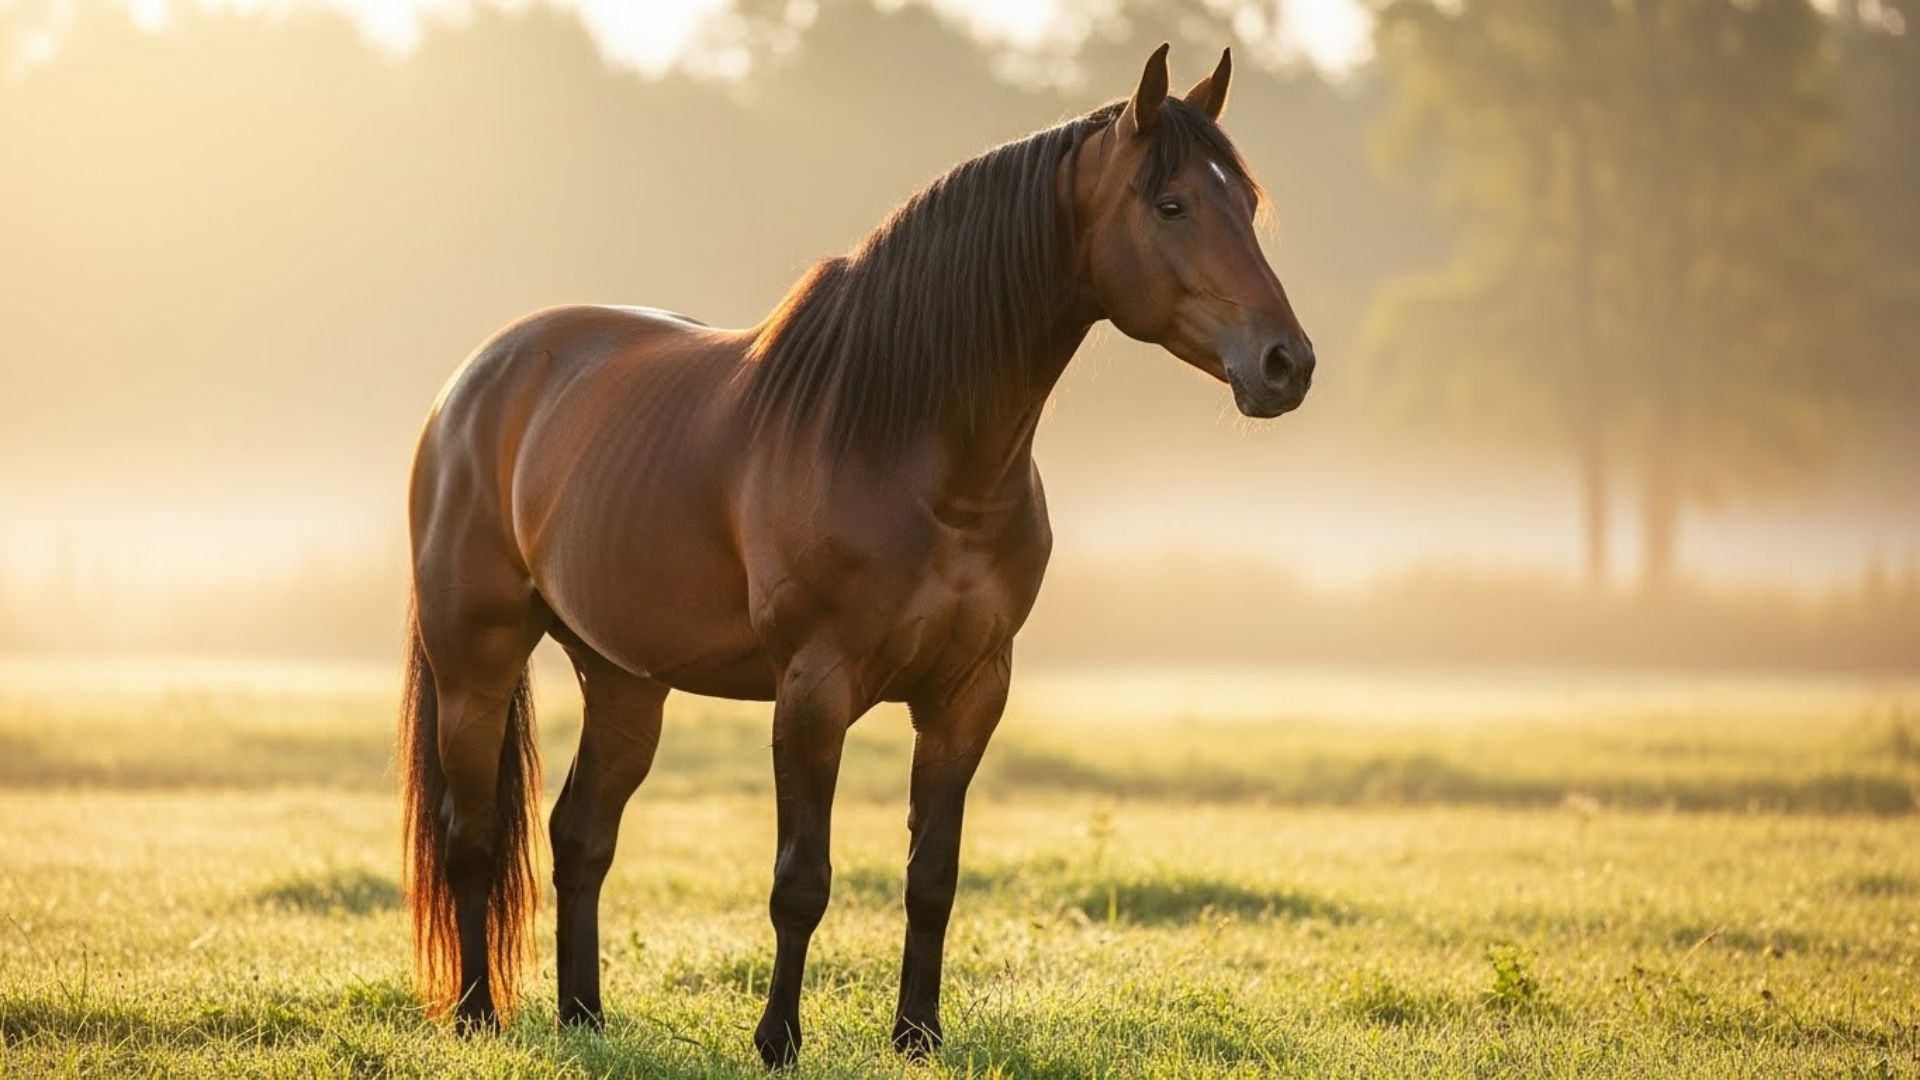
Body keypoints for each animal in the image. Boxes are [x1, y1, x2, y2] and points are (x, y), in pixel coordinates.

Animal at [398, 42, 1314, 1067]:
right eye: (1171, 205)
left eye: (1246, 202)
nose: (1286, 364)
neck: (914, 450)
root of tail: (473, 383)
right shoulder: (814, 688)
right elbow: (802, 879)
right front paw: (777, 1041)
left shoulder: (969, 693)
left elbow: (933, 877)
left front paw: (917, 1034)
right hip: (476, 661)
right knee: (473, 836)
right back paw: (478, 1015)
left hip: (626, 678)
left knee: (581, 834)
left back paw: (584, 1018)